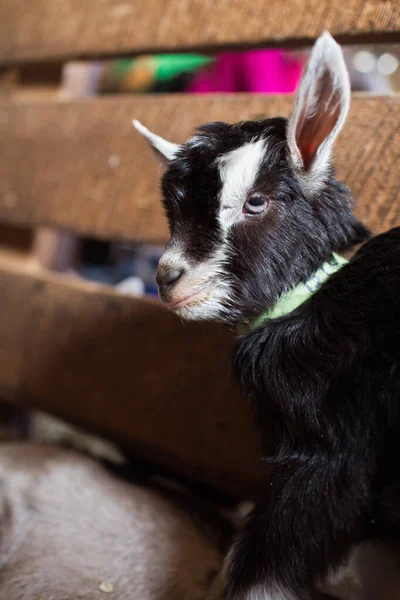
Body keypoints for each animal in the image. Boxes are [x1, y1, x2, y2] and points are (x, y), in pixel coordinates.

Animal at [135, 31, 400, 600]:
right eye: (173, 210)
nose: (168, 276)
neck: (319, 294)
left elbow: (266, 560)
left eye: (254, 202)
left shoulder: (334, 452)